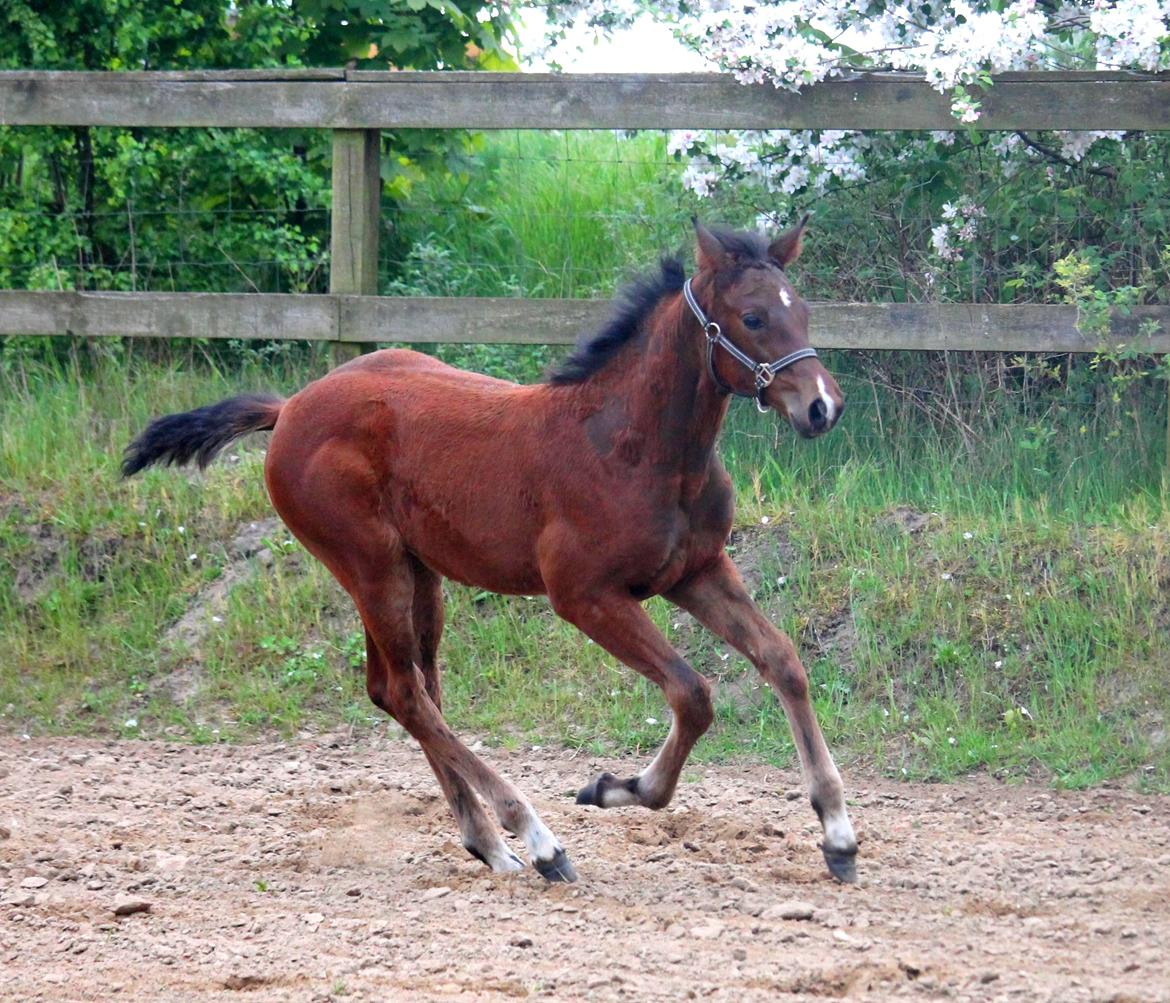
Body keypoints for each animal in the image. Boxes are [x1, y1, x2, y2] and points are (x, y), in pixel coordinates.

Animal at [123, 221, 861, 884]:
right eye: (754, 316)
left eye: (804, 312)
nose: (824, 406)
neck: (633, 445)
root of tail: (291, 407)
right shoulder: (584, 595)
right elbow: (692, 692)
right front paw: (614, 787)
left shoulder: (698, 570)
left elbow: (783, 661)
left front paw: (838, 834)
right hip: (370, 565)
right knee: (404, 691)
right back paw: (535, 839)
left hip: (419, 574)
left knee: (406, 689)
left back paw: (488, 843)